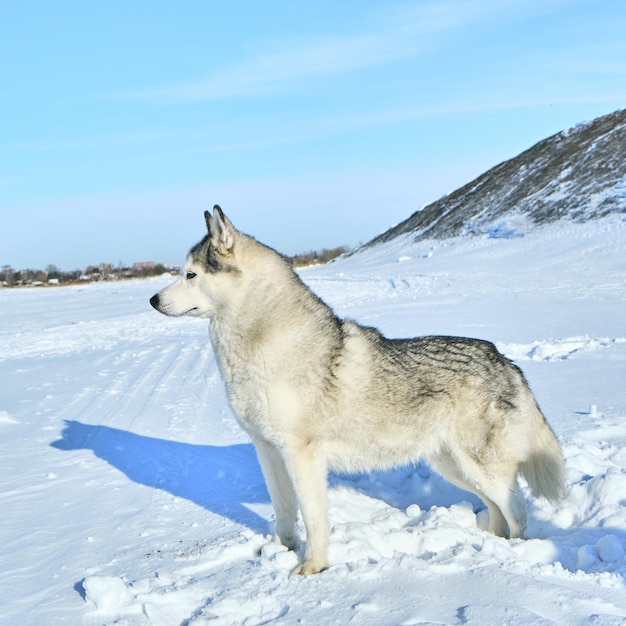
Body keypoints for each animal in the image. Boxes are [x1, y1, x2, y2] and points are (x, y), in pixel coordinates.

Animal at [149, 206, 564, 576]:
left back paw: (518, 555)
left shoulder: (303, 457)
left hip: (480, 467)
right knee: (497, 511)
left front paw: (313, 568)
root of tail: (504, 359)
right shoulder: (267, 451)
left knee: (517, 511)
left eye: (190, 274)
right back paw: (494, 543)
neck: (262, 343)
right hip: (453, 466)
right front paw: (280, 552)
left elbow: (314, 520)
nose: (153, 300)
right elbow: (284, 514)